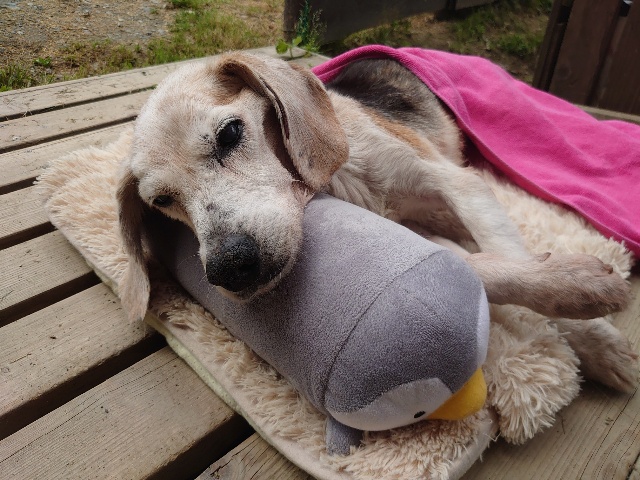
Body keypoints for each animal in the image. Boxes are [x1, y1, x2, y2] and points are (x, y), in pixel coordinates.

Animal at [116, 52, 637, 392]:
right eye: (162, 201)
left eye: (229, 134)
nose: (227, 268)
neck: (340, 178)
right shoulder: (412, 232)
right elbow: (483, 265)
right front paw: (573, 290)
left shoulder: (457, 182)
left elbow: (505, 247)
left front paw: (595, 332)